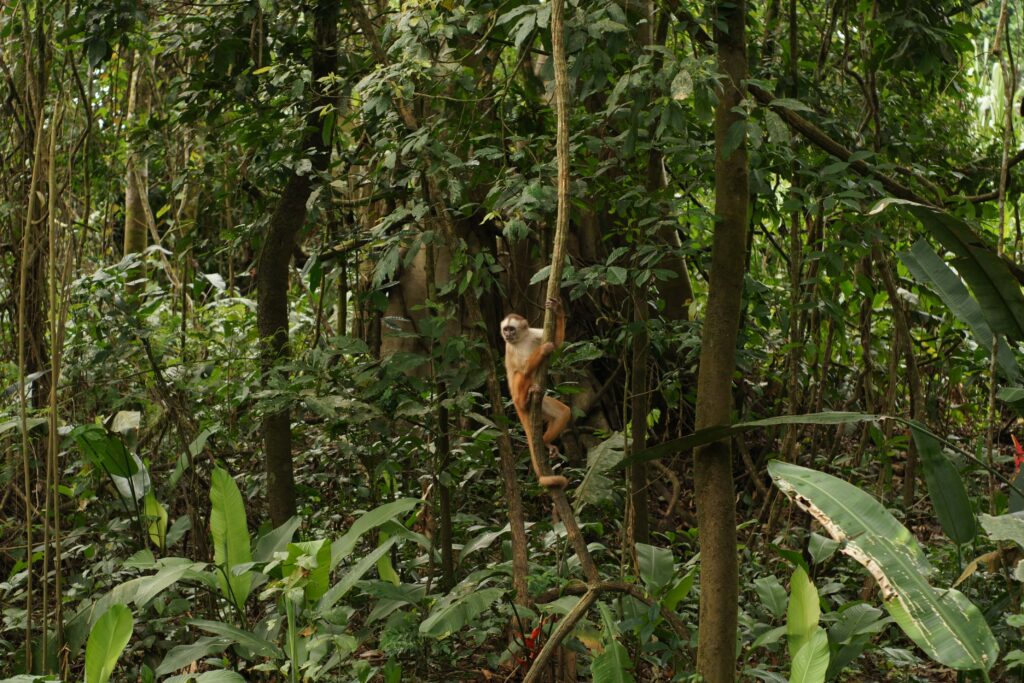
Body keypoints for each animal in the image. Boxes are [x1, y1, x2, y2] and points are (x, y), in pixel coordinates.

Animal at [501, 297, 572, 489]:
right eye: (506, 329)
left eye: (511, 329)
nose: (507, 335)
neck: (521, 339)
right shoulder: (509, 348)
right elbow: (524, 368)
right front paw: (543, 350)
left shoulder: (533, 333)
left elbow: (558, 344)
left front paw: (557, 309)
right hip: (516, 395)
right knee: (520, 373)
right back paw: (524, 400)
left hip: (541, 402)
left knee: (564, 412)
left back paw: (546, 442)